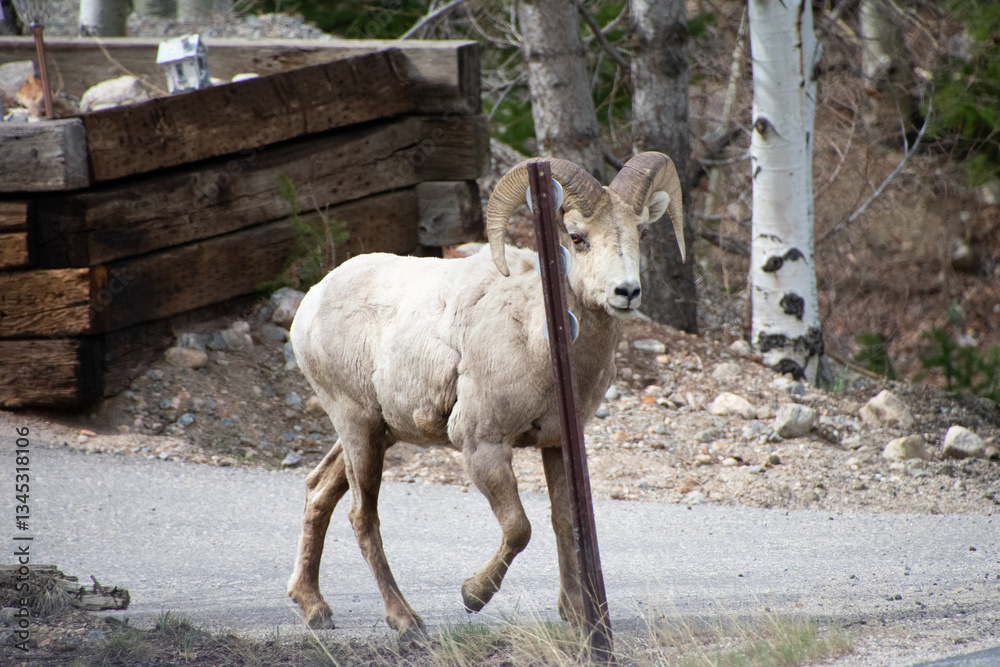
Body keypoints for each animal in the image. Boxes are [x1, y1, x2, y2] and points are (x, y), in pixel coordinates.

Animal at [286, 153, 685, 640]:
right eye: (577, 237)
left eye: (641, 233)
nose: (626, 292)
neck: (539, 335)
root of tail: (311, 303)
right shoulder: (482, 445)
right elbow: (519, 528)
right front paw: (473, 596)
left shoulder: (556, 444)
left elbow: (562, 521)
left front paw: (574, 615)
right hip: (358, 426)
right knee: (362, 516)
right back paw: (405, 621)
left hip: (376, 432)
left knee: (319, 490)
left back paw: (313, 607)